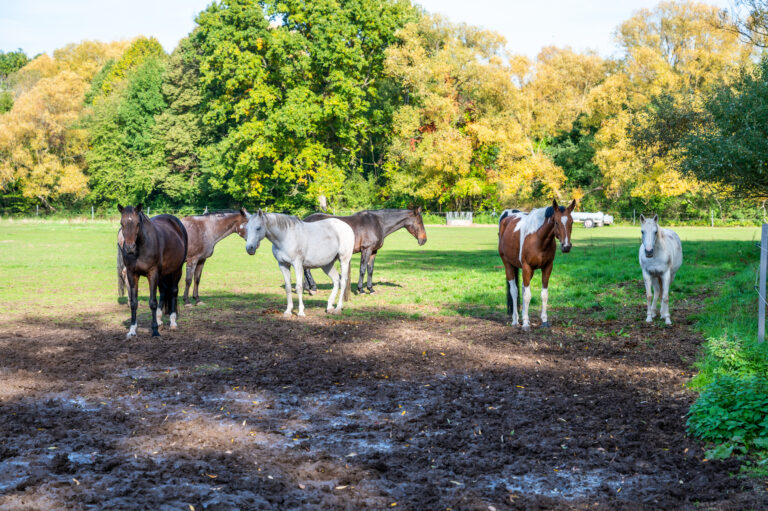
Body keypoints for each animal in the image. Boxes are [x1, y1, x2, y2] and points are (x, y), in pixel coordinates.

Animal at [118, 204, 188, 338]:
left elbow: (153, 302)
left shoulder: (153, 273)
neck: (141, 247)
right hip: (162, 274)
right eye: (121, 223)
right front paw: (132, 330)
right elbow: (134, 302)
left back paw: (172, 322)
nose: (129, 248)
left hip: (177, 270)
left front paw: (155, 331)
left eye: (137, 223)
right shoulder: (132, 274)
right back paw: (160, 319)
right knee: (164, 291)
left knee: (173, 291)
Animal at [498, 199, 576, 330]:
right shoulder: (526, 267)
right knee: (514, 291)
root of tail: (507, 217)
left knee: (522, 288)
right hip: (508, 264)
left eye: (572, 222)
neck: (538, 238)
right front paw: (524, 324)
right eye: (556, 222)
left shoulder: (547, 267)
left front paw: (544, 321)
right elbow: (526, 295)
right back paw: (515, 320)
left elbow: (544, 294)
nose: (566, 246)